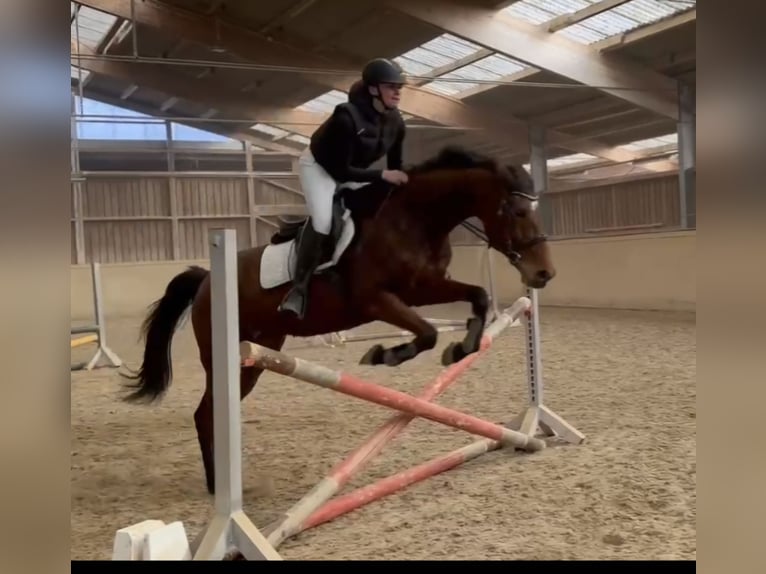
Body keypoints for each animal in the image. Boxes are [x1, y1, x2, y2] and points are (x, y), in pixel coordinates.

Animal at [123, 145, 560, 496]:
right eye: (519, 211)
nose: (544, 274)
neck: (415, 218)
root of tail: (206, 279)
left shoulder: (422, 288)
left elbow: (478, 297)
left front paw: (462, 348)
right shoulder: (375, 300)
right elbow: (426, 333)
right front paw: (386, 354)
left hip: (257, 357)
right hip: (224, 357)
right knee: (205, 414)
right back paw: (218, 486)